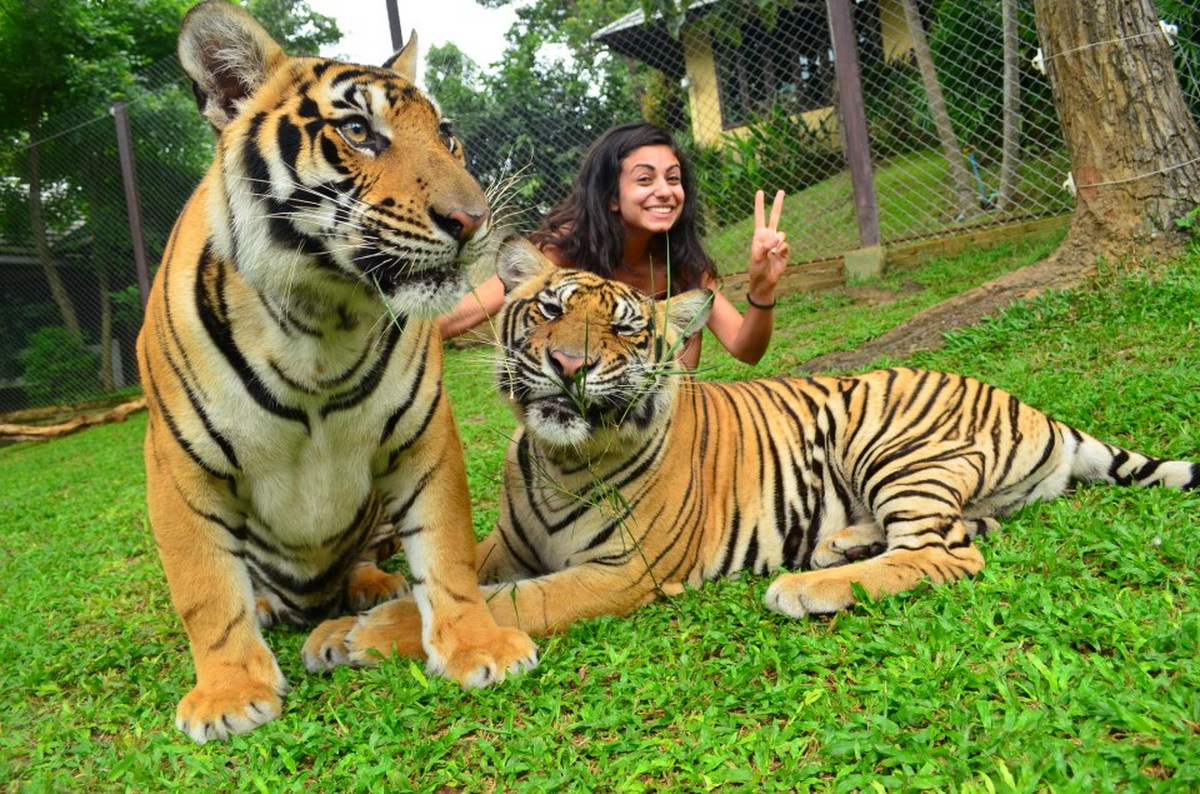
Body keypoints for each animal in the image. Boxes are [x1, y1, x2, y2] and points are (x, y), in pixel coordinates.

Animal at [133, 1, 537, 748]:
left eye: (447, 137)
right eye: (357, 132)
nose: (473, 220)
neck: (320, 318)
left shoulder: (423, 435)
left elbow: (447, 552)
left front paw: (479, 646)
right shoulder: (178, 462)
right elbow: (205, 590)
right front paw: (230, 694)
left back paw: (373, 586)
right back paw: (268, 607)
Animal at [302, 237, 1200, 666]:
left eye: (624, 329)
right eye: (550, 309)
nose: (569, 365)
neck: (561, 461)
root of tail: (1032, 406)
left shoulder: (619, 572)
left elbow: (513, 602)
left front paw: (366, 634)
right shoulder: (508, 542)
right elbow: (462, 575)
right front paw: (345, 618)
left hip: (884, 435)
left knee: (945, 554)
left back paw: (809, 586)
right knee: (965, 534)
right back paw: (841, 545)